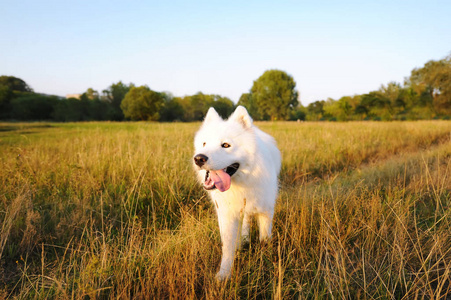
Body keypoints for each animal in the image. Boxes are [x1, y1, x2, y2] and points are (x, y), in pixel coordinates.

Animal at [192, 105, 280, 278]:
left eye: (226, 145)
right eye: (204, 143)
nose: (199, 158)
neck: (242, 183)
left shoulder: (265, 212)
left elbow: (264, 240)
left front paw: (265, 261)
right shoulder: (227, 215)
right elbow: (227, 246)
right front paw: (224, 275)